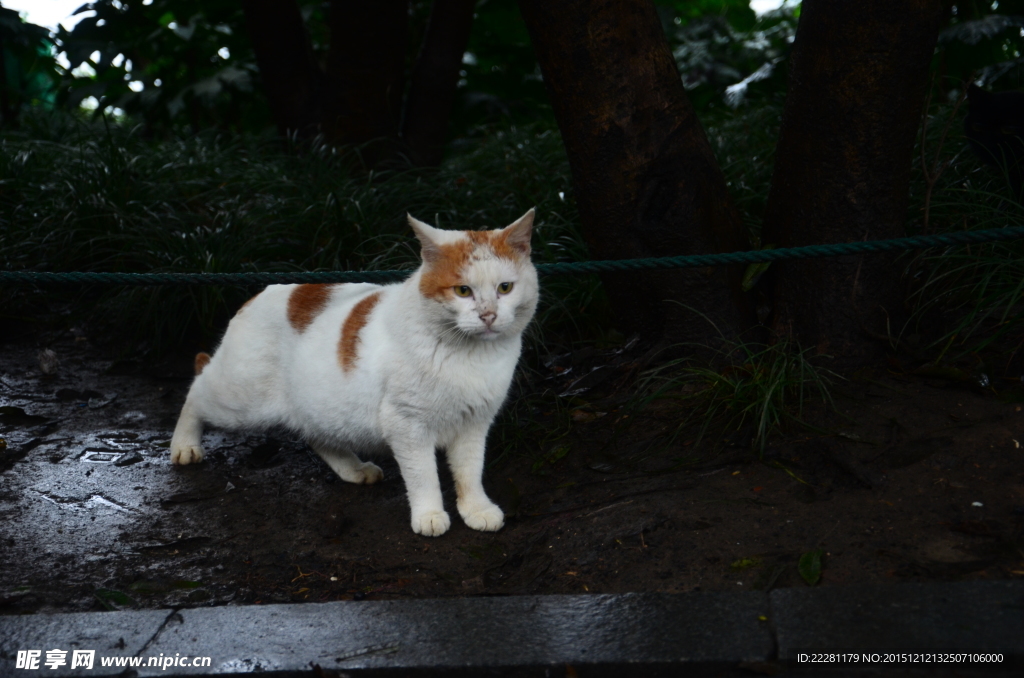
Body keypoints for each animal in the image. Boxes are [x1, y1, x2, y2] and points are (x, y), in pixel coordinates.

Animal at [169, 209, 536, 540]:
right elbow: (423, 475)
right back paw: (184, 445)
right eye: (462, 291)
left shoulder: (475, 423)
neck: (470, 356)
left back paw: (354, 469)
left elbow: (469, 471)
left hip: (320, 406)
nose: (488, 315)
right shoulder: (407, 425)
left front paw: (476, 509)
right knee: (195, 390)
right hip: (239, 401)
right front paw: (429, 514)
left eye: (505, 288)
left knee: (317, 435)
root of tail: (259, 293)